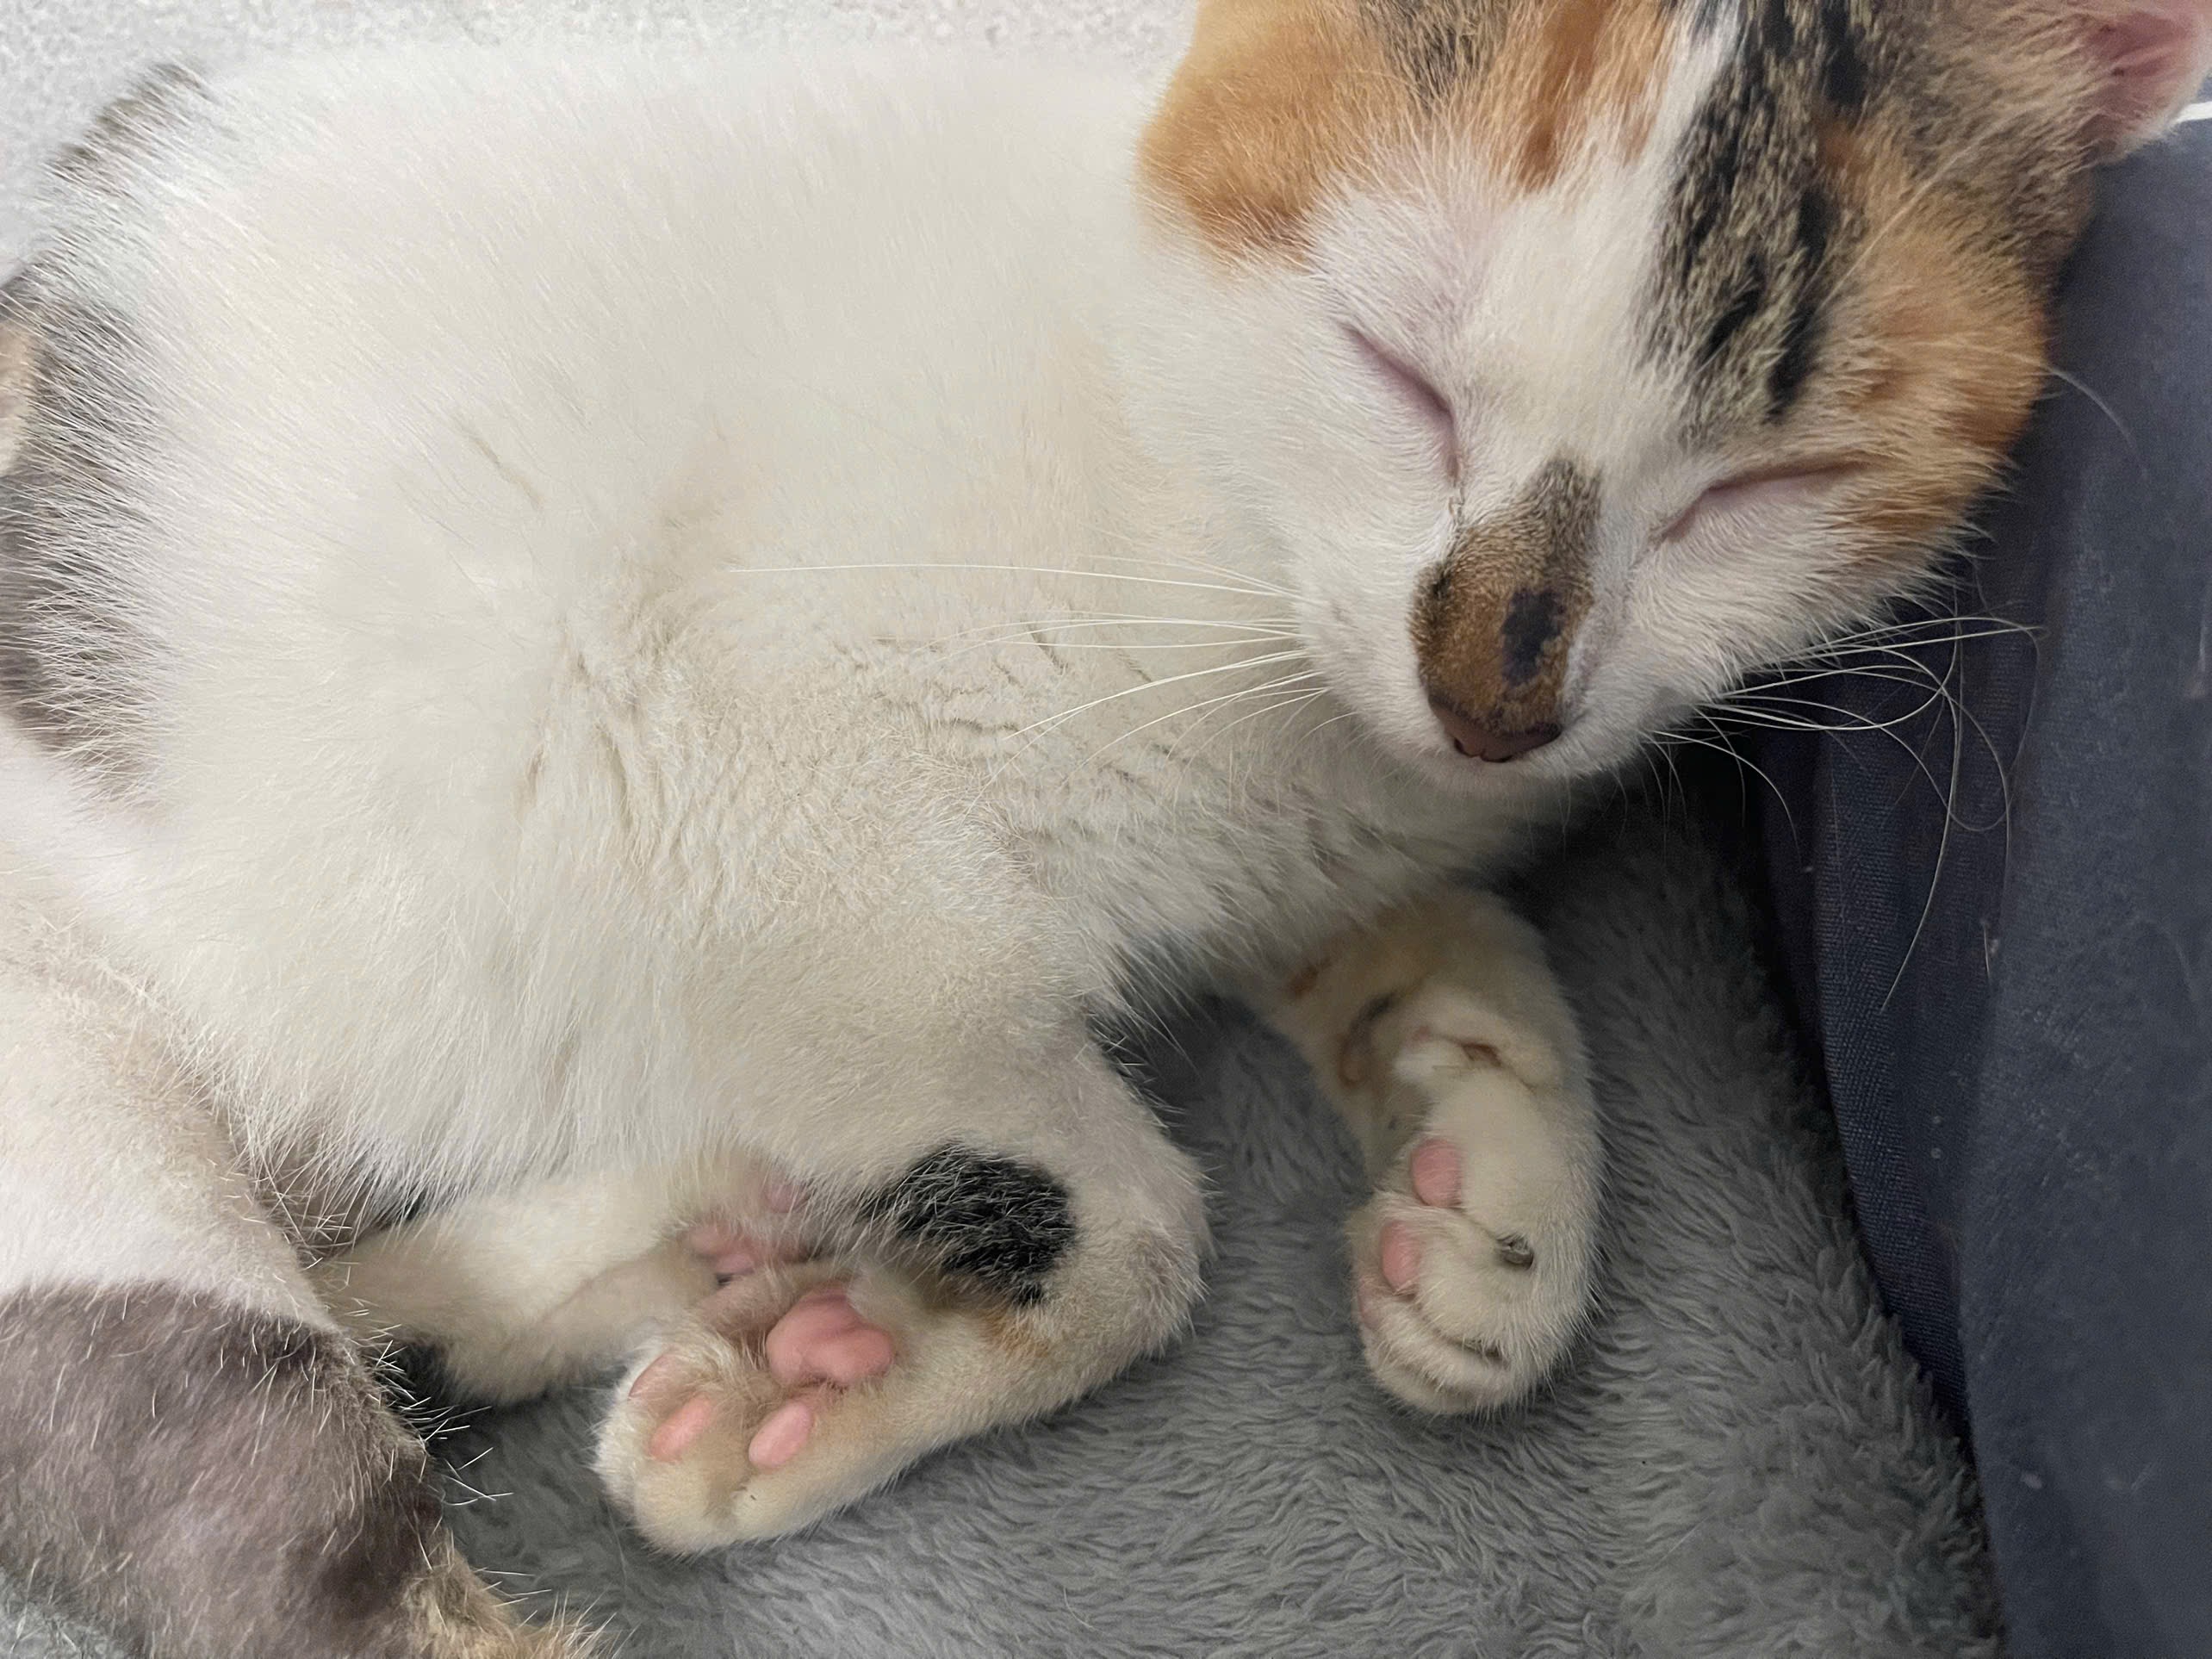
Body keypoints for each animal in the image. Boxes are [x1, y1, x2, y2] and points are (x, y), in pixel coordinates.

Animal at [2, 2, 2205, 1653]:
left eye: (1763, 485)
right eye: (1398, 368)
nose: (1496, 681)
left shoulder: (1321, 837)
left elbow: (1439, 940)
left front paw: (1487, 1203)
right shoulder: (737, 805)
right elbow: (1130, 1212)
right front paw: (852, 1381)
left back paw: (669, 1243)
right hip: (98, 1164)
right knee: (290, 1532)